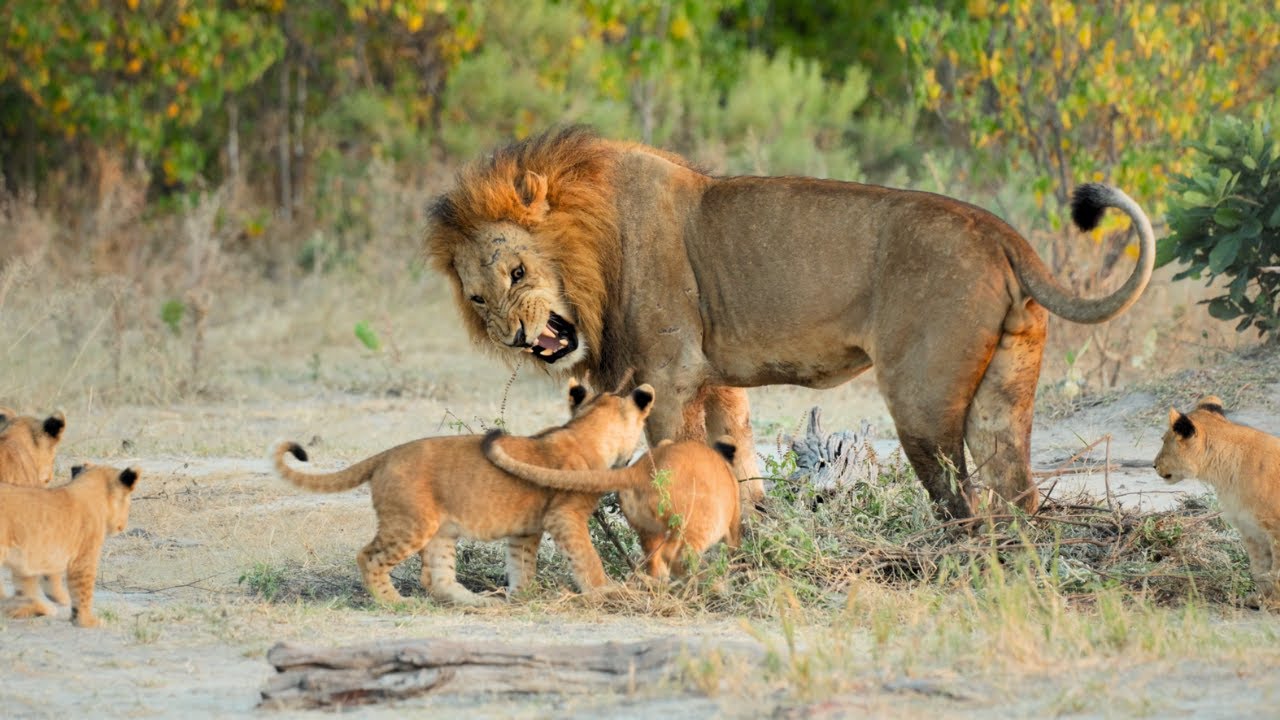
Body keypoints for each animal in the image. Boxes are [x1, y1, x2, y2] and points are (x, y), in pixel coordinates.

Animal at [0, 463, 140, 627]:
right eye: (129, 503)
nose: (123, 526)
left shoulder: (36, 555)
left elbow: (27, 586)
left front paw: (32, 607)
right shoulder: (83, 559)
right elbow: (82, 592)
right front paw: (87, 621)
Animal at [271, 382, 655, 606]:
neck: (586, 430)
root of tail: (385, 454)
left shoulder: (525, 530)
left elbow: (521, 565)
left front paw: (521, 597)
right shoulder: (565, 516)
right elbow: (587, 559)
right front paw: (607, 591)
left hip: (439, 532)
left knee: (435, 578)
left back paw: (479, 601)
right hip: (411, 523)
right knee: (368, 557)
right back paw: (396, 602)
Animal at [425, 126, 1155, 519]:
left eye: (518, 272)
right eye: (478, 298)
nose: (517, 337)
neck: (593, 247)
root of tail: (1002, 232)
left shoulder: (667, 376)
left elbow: (670, 468)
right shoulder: (714, 381)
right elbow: (739, 463)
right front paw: (749, 536)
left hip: (922, 402)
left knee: (960, 502)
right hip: (1004, 391)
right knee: (1016, 491)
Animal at [484, 379, 740, 580]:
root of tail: (638, 471)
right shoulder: (732, 519)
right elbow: (734, 544)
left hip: (646, 529)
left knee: (654, 561)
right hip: (699, 523)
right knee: (677, 555)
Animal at [1154, 396, 1280, 603]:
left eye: (1164, 440)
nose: (1153, 465)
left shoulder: (1275, 530)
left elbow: (1276, 572)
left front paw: (1272, 603)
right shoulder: (1251, 529)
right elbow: (1260, 569)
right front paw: (1257, 600)